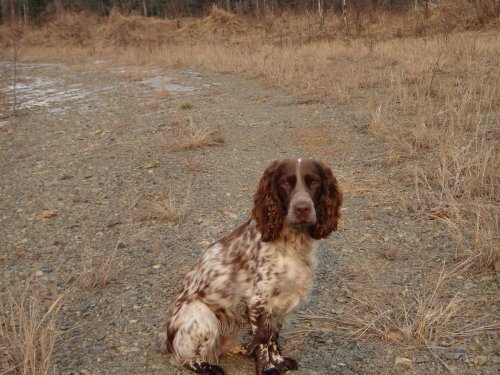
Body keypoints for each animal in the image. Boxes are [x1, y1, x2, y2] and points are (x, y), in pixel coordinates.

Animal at [162, 159, 342, 375]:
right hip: (203, 315)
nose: (302, 208)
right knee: (185, 358)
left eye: (314, 182)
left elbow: (273, 336)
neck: (292, 242)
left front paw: (278, 361)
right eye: (285, 183)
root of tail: (167, 342)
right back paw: (208, 366)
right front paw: (267, 368)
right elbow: (263, 338)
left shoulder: (281, 301)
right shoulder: (257, 300)